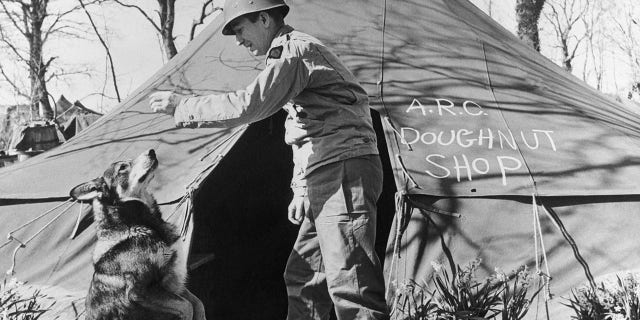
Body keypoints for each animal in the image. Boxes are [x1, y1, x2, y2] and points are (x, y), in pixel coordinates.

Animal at [70, 150, 205, 320]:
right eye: (122, 167)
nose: (152, 151)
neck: (134, 226)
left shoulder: (176, 284)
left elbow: (198, 303)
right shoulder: (140, 291)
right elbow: (187, 306)